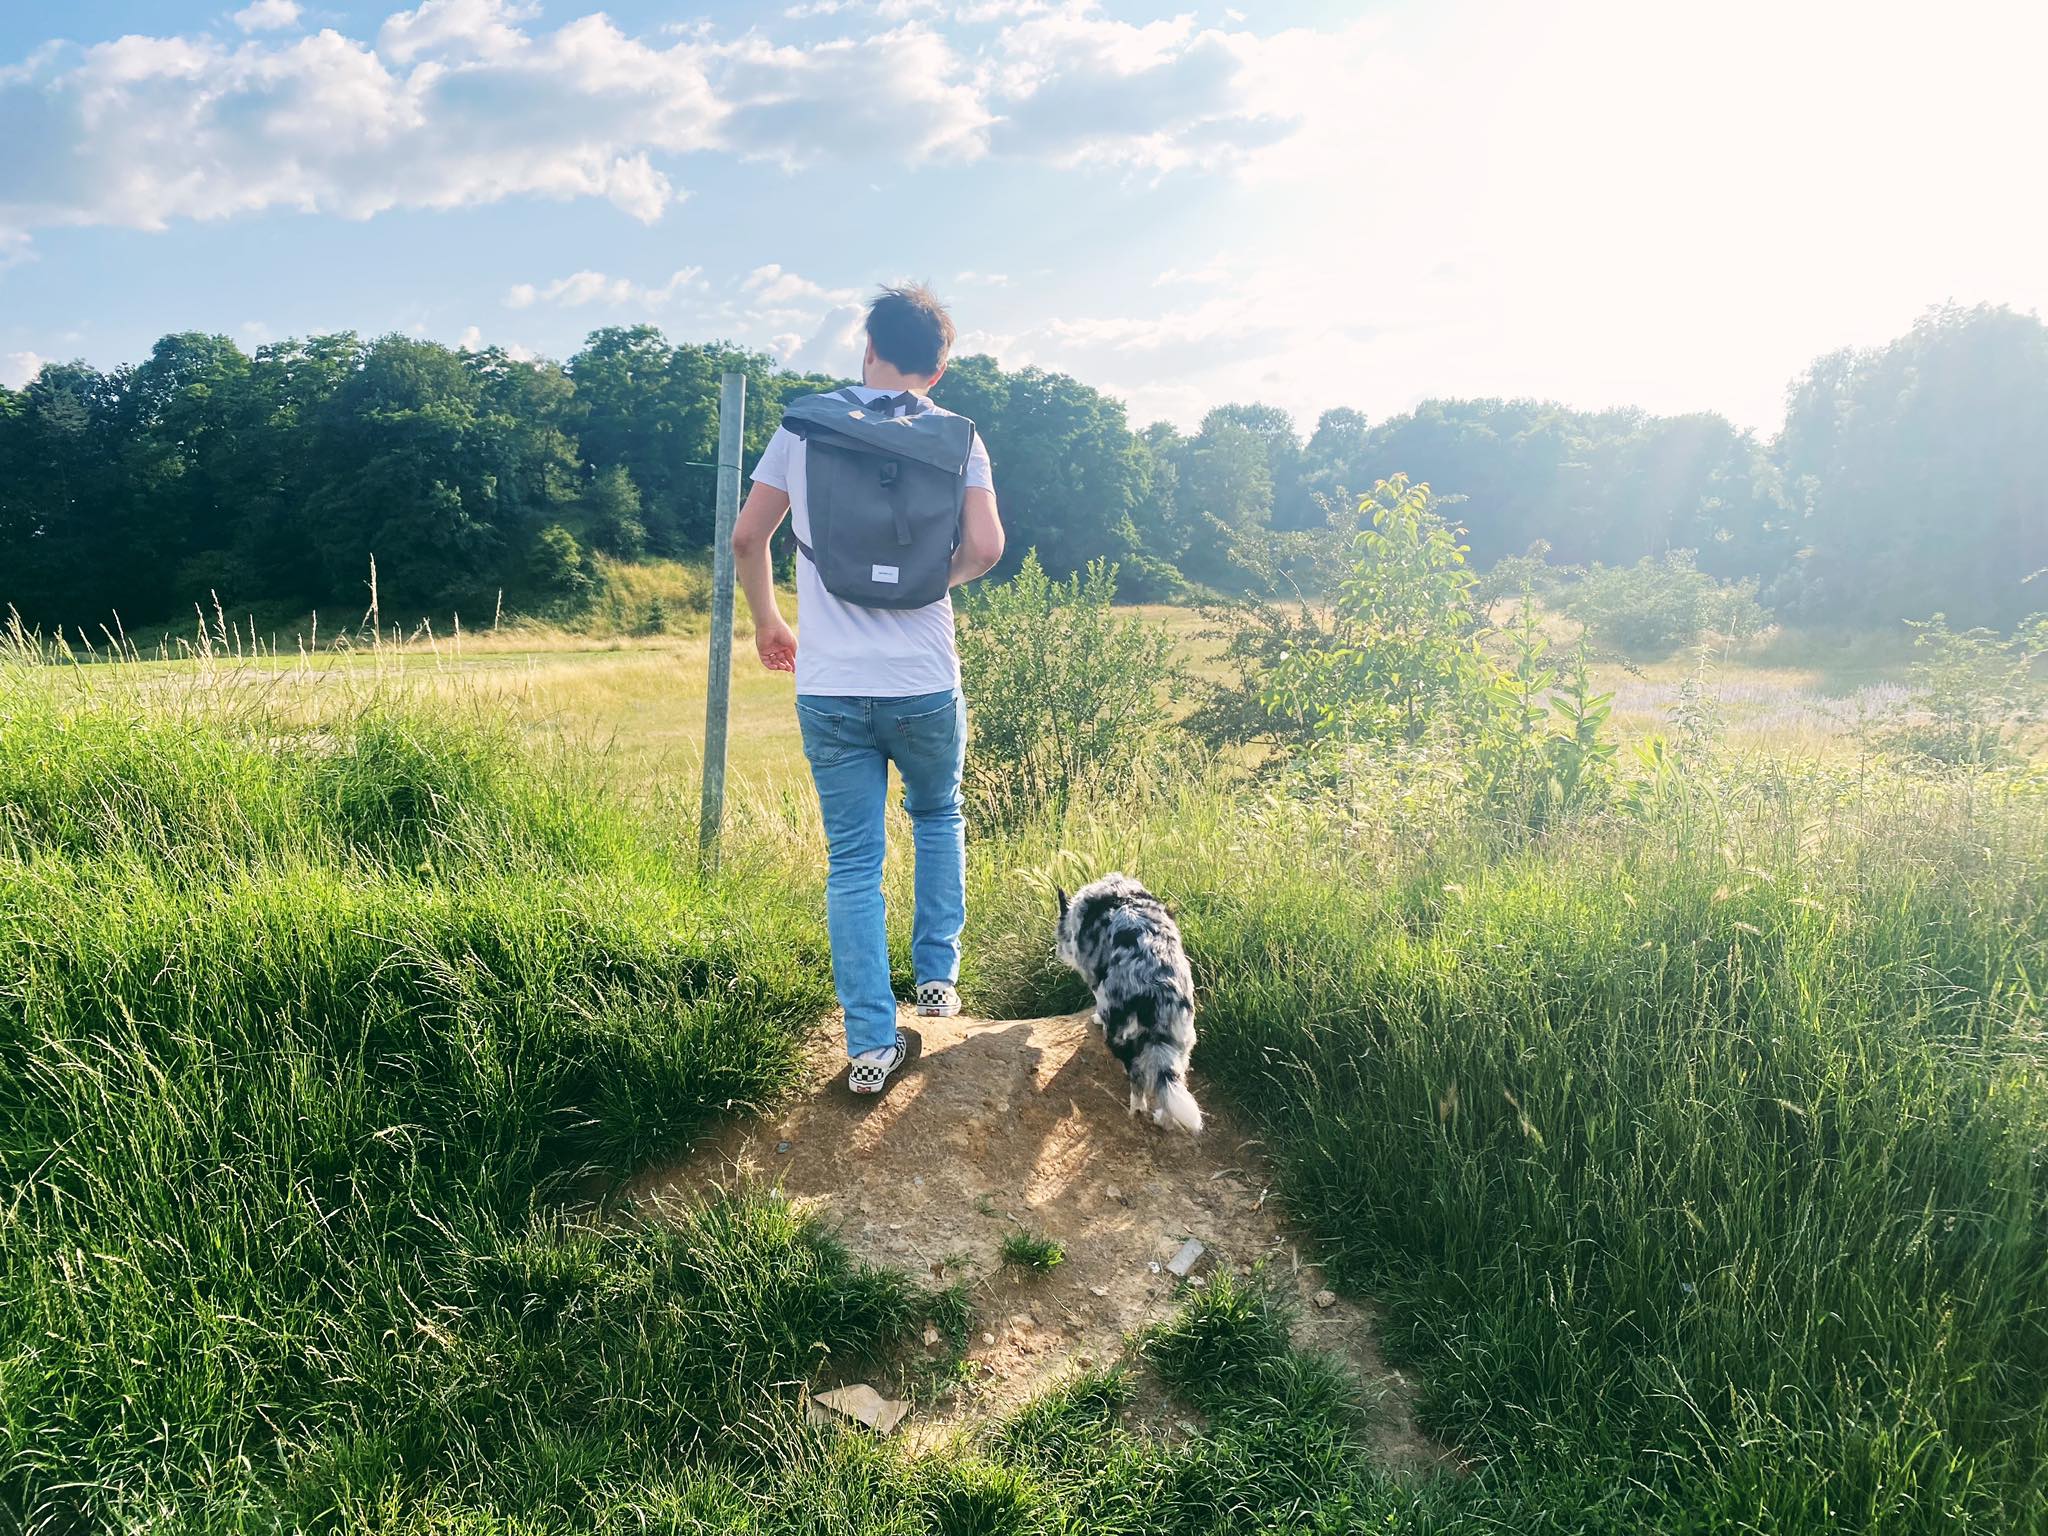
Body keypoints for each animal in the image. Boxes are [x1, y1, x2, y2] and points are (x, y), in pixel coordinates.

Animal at [1056, 872, 1196, 1138]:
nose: (1059, 952)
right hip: (1181, 1043)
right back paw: (1163, 1120)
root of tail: (1159, 992)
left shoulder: (1095, 979)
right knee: (1170, 1086)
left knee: (1137, 1076)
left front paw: (1095, 1018)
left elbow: (1096, 1000)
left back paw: (1136, 1107)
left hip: (1119, 1034)